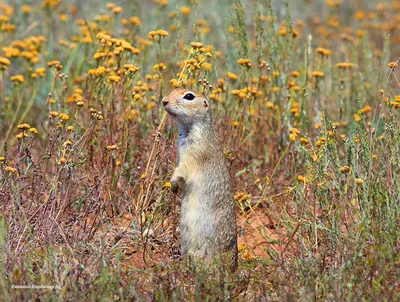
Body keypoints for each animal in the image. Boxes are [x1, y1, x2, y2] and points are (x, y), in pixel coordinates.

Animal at [162, 87, 238, 268]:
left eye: (189, 96)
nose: (164, 101)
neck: (188, 130)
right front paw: (174, 187)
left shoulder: (194, 154)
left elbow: (182, 170)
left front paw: (173, 182)